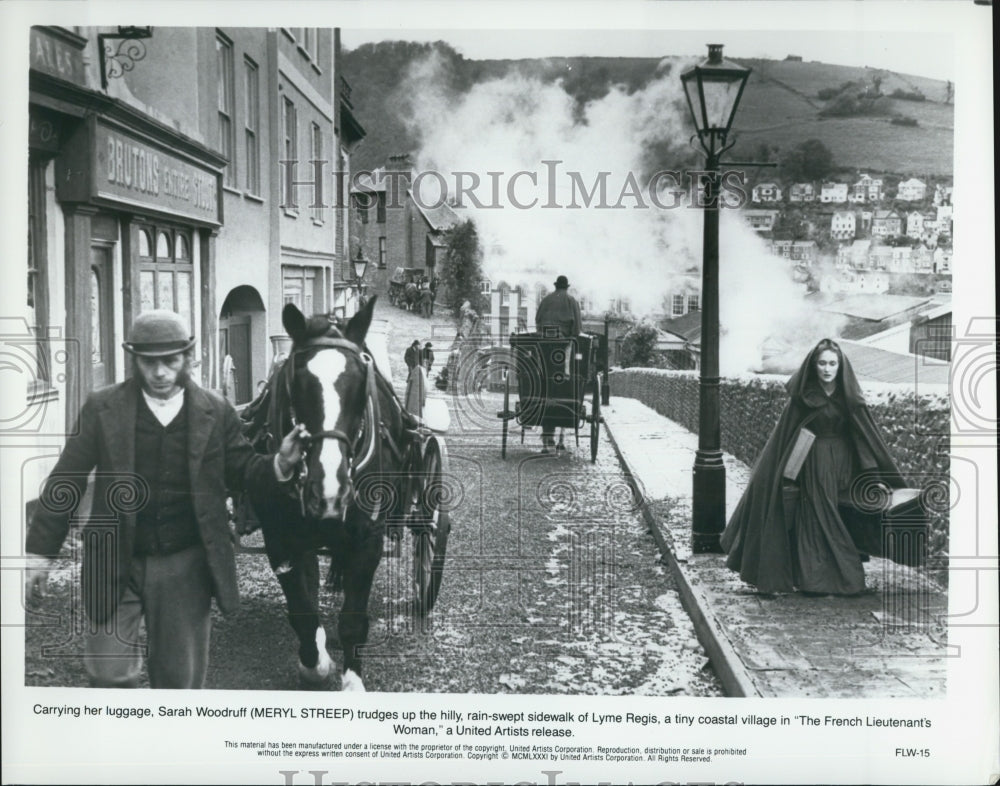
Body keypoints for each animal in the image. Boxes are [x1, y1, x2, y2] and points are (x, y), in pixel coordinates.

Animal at [248, 298, 416, 688]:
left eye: (361, 383)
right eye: (297, 381)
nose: (330, 488)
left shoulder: (368, 536)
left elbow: (353, 619)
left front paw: (352, 680)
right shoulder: (281, 538)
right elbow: (303, 612)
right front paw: (316, 662)